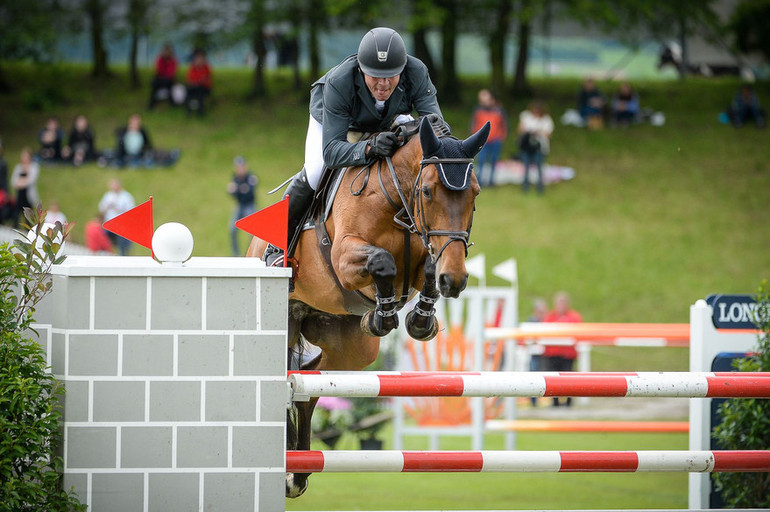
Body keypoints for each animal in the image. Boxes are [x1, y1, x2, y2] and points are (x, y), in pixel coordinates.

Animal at [244, 115, 486, 496]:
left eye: (475, 192)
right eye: (428, 190)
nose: (456, 280)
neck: (397, 199)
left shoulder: (428, 255)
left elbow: (428, 268)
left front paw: (420, 320)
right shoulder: (346, 257)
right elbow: (382, 261)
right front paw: (381, 317)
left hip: (350, 349)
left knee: (308, 386)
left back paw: (296, 473)